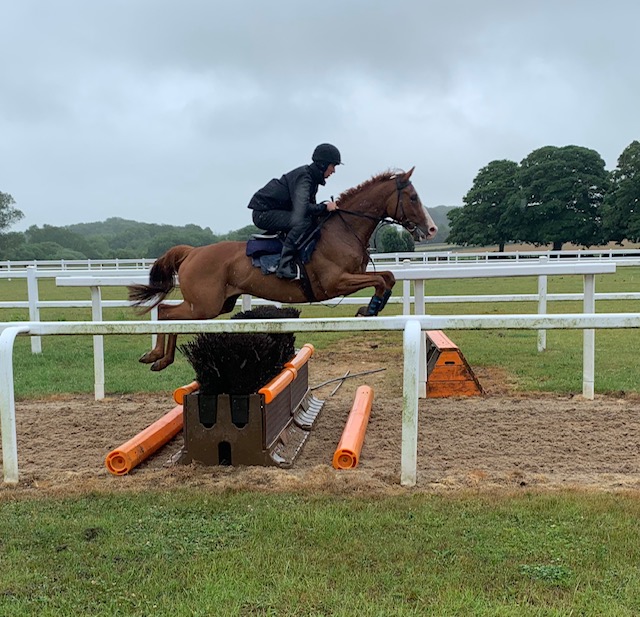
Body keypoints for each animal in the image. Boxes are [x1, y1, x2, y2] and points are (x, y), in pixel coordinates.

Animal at [128, 167, 437, 371]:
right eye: (412, 197)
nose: (431, 229)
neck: (343, 230)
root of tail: (192, 252)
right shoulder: (334, 282)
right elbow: (383, 279)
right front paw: (369, 309)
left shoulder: (348, 278)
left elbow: (388, 276)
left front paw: (371, 307)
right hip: (205, 305)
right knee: (166, 312)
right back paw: (156, 356)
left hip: (216, 305)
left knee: (168, 313)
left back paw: (160, 359)